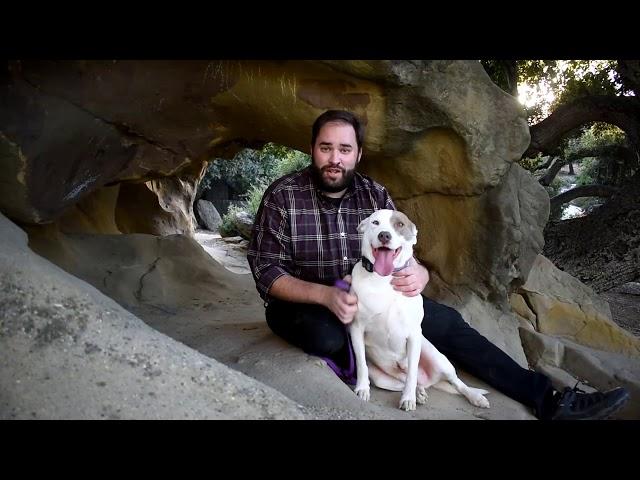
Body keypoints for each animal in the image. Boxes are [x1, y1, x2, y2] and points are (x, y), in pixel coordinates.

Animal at [344, 208, 490, 410]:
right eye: (375, 223)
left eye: (400, 224)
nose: (384, 235)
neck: (385, 280)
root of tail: (430, 380)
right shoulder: (357, 329)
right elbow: (361, 364)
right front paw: (362, 388)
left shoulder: (413, 336)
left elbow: (412, 373)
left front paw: (408, 399)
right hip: (384, 379)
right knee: (405, 381)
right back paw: (420, 392)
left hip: (439, 359)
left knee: (456, 382)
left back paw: (475, 397)